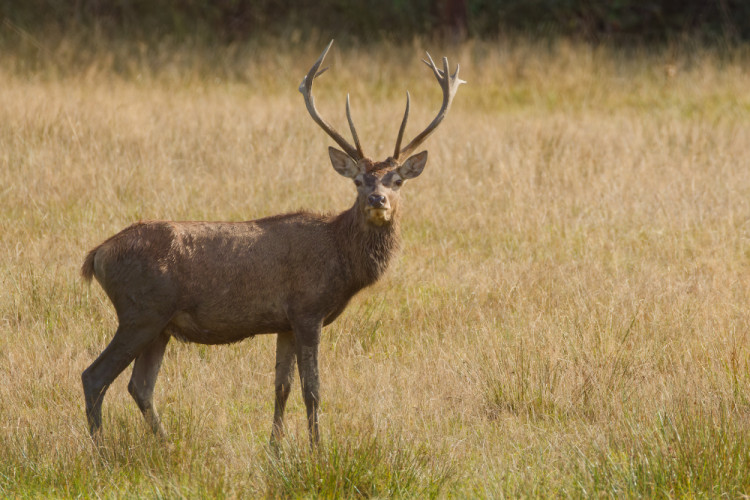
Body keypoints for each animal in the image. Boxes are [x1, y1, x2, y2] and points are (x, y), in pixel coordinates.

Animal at [78, 40, 464, 446]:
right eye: (358, 181)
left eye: (397, 181)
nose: (378, 200)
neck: (340, 260)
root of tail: (97, 255)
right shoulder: (308, 309)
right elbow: (313, 389)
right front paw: (317, 448)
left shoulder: (284, 322)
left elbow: (281, 387)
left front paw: (275, 449)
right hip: (140, 311)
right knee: (95, 376)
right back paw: (101, 449)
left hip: (160, 324)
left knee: (140, 386)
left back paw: (165, 446)